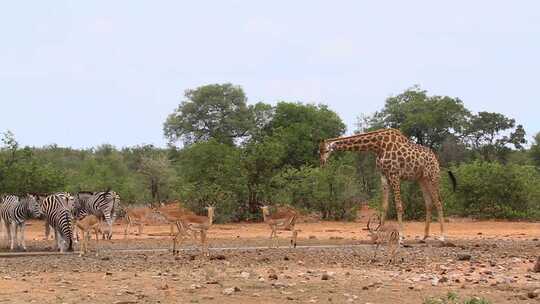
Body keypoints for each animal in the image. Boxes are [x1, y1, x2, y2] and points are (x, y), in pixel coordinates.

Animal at [320, 127, 456, 241]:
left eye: (326, 150)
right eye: (318, 151)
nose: (322, 163)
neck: (378, 146)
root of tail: (436, 159)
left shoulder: (394, 174)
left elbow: (399, 206)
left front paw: (401, 236)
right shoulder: (383, 175)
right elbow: (384, 206)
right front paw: (378, 234)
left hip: (432, 177)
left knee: (438, 202)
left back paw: (442, 236)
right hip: (422, 179)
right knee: (428, 203)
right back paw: (424, 236)